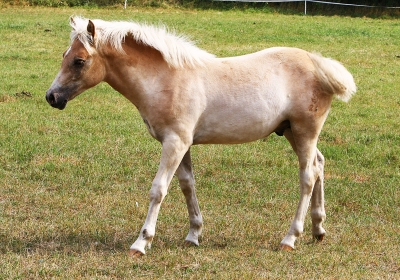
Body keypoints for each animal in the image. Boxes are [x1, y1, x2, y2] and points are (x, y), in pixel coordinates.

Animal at [46, 17, 356, 256]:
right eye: (63, 55)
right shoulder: (182, 144)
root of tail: (317, 63)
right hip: (292, 131)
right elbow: (187, 185)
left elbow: (158, 189)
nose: (52, 97)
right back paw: (318, 229)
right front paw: (193, 234)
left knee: (307, 176)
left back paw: (290, 238)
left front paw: (141, 242)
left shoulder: (175, 142)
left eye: (79, 61)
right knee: (319, 164)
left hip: (305, 132)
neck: (167, 79)